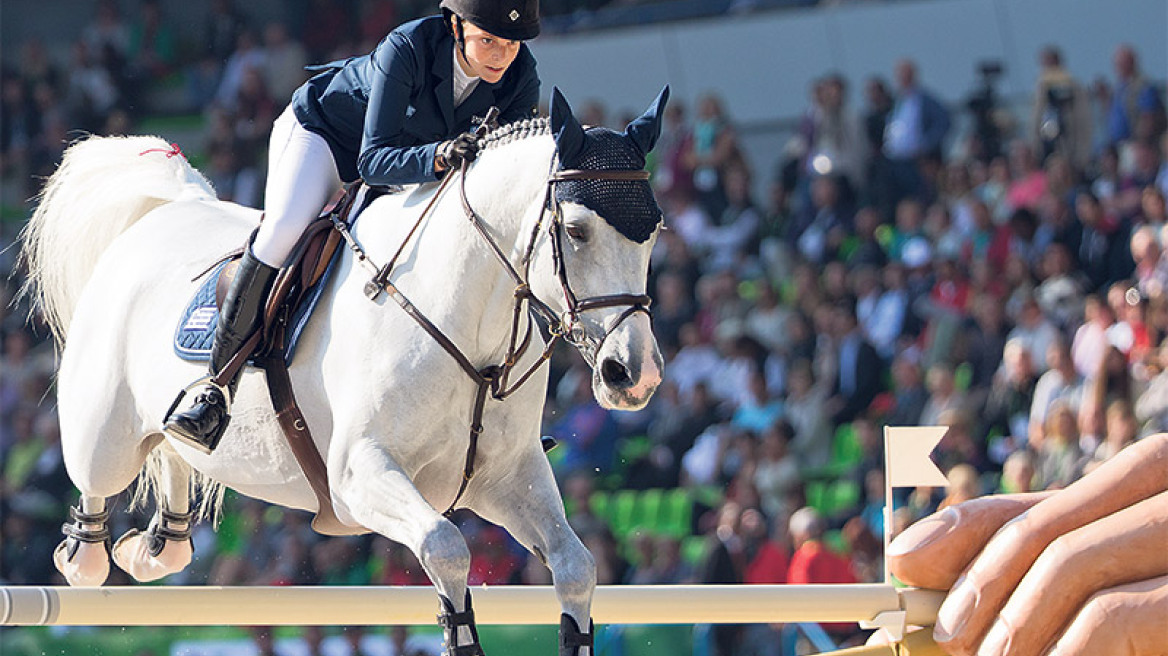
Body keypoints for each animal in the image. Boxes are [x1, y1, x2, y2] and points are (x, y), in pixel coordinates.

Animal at [20, 88, 668, 653]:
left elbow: (576, 566)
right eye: (577, 230)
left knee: (174, 454)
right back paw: (87, 554)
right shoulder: (360, 474)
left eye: (656, 230)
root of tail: (168, 213)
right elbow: (447, 546)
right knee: (100, 479)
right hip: (103, 435)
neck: (465, 318)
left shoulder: (508, 478)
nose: (632, 375)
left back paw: (157, 546)